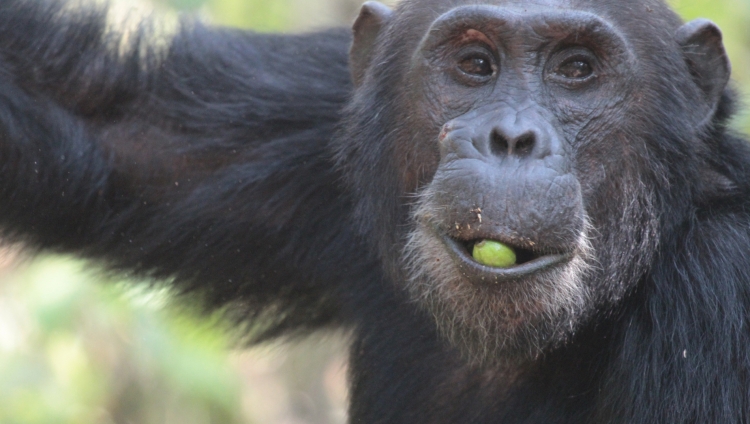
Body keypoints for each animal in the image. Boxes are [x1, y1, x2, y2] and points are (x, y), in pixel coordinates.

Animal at [1, 0, 750, 422]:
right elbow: (99, 112)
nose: (511, 138)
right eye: (474, 63)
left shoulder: (718, 294)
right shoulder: (317, 117)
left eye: (577, 70)